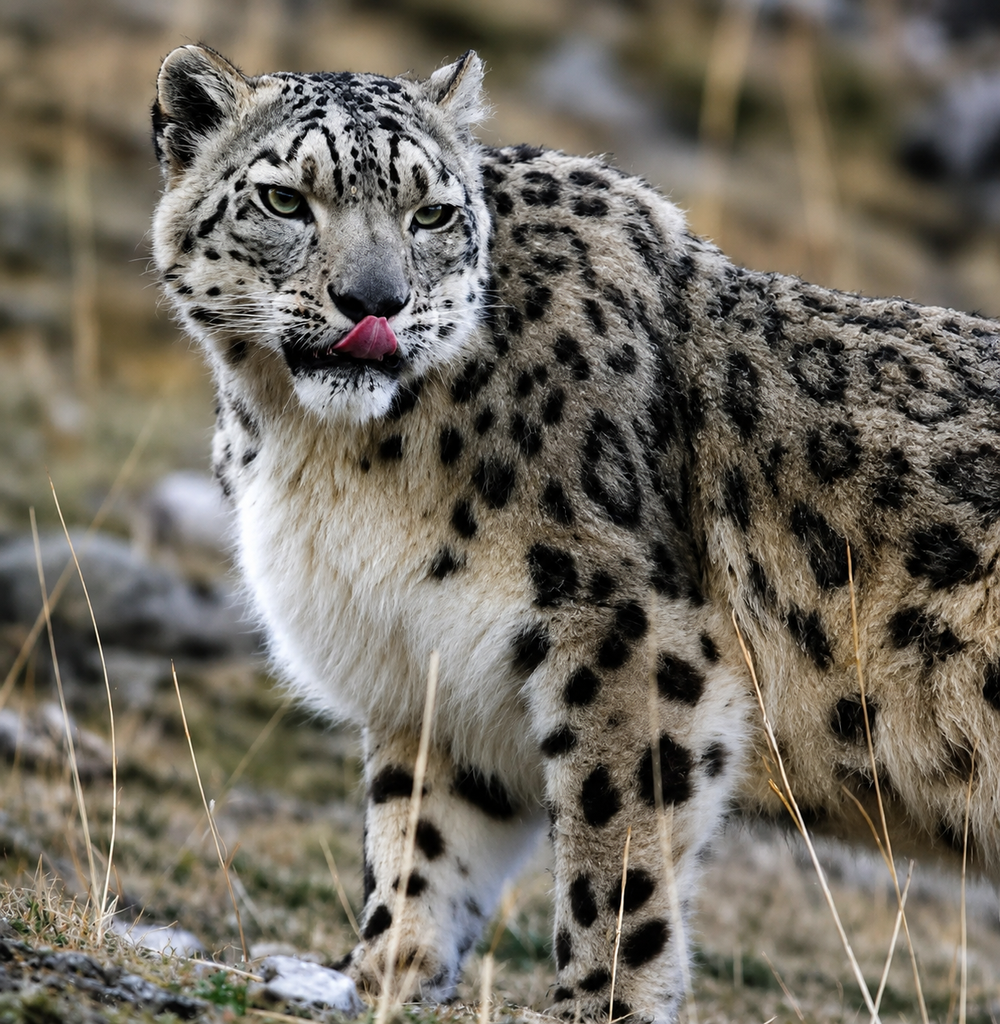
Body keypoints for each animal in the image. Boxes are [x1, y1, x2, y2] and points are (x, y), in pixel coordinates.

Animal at [151, 44, 1000, 1023]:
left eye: (430, 213)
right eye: (286, 199)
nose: (376, 301)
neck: (328, 455)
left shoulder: (624, 634)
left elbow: (613, 844)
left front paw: (598, 1002)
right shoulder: (434, 666)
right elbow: (419, 842)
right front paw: (380, 975)